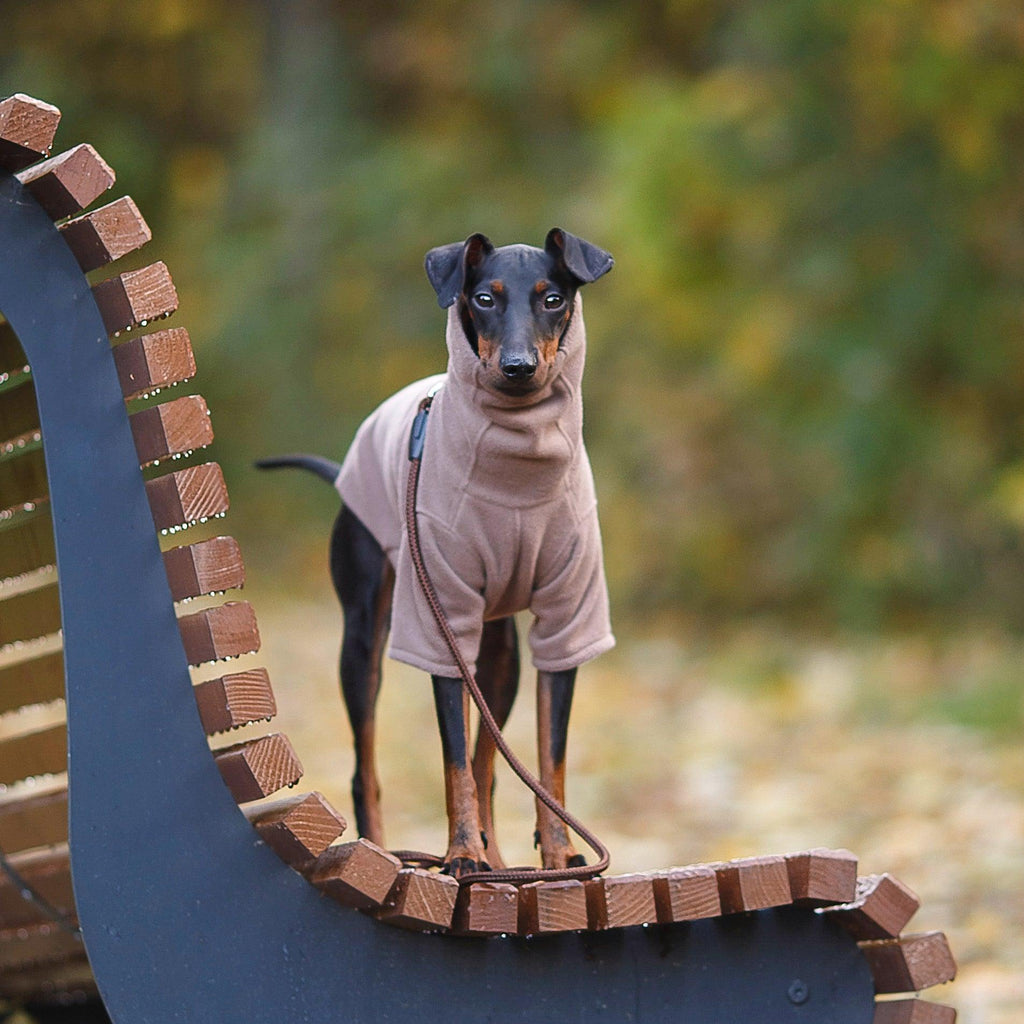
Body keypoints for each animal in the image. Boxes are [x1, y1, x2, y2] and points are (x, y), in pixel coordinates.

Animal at [262, 228, 614, 876]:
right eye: (483, 298)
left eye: (553, 299)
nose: (519, 367)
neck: (518, 467)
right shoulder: (440, 621)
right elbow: (452, 760)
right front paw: (461, 855)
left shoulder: (567, 621)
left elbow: (546, 759)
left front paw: (559, 853)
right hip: (364, 640)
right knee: (368, 768)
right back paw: (386, 851)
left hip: (499, 655)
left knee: (489, 760)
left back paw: (499, 857)